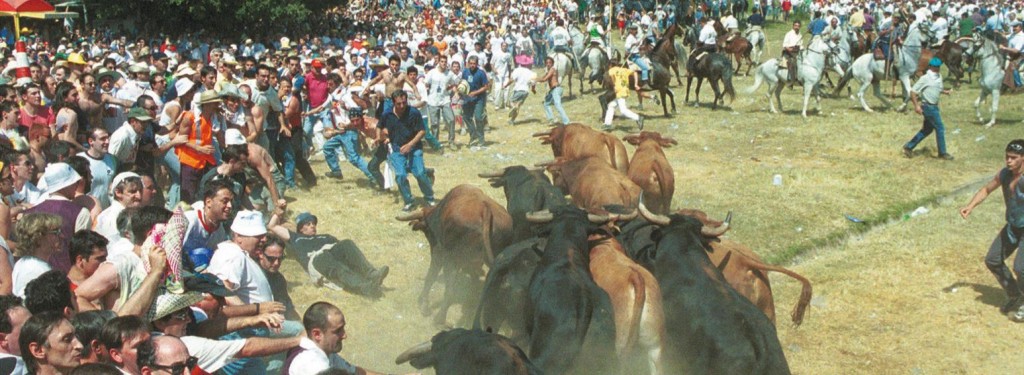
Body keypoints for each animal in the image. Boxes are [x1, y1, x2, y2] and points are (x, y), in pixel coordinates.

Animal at [397, 184, 516, 325]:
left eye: (428, 231)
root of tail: (485, 209)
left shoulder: (440, 254)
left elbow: (431, 276)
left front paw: (423, 303)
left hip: (451, 260)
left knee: (450, 288)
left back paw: (439, 318)